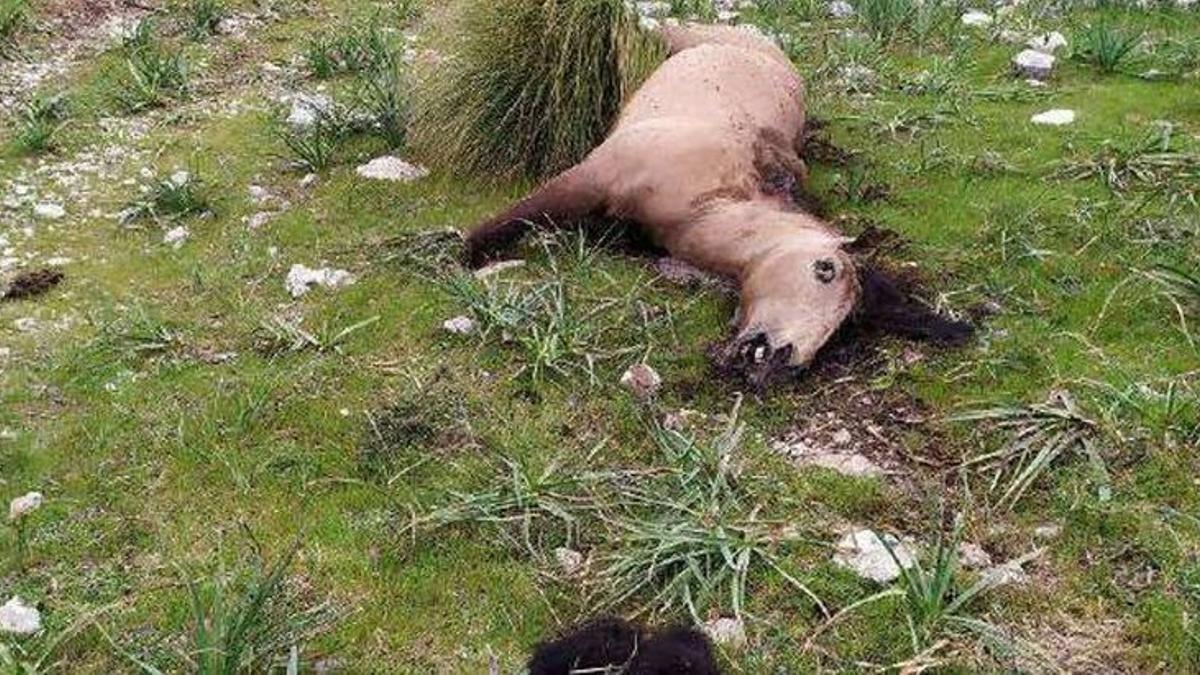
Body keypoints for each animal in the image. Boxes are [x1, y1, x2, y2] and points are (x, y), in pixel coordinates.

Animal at [463, 23, 969, 369]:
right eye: (824, 270)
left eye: (844, 330)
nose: (779, 360)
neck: (704, 199)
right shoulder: (592, 174)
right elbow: (514, 217)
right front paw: (468, 256)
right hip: (680, 33)